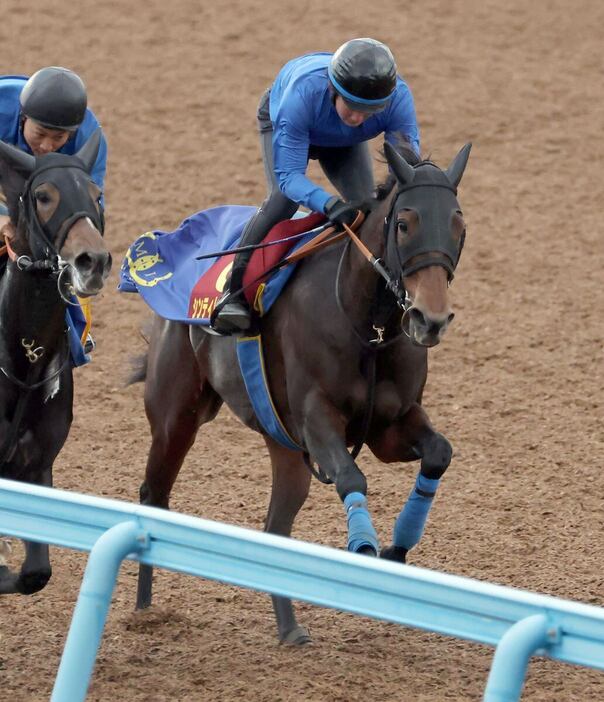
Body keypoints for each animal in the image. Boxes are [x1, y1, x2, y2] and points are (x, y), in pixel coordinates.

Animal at [134, 143, 470, 648]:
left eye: (458, 224)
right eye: (405, 223)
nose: (430, 319)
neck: (367, 327)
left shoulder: (392, 425)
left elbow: (438, 453)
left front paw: (397, 546)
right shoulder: (317, 420)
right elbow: (351, 478)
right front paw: (364, 546)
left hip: (284, 444)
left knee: (276, 527)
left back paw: (289, 628)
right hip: (177, 417)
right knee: (153, 493)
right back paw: (143, 612)